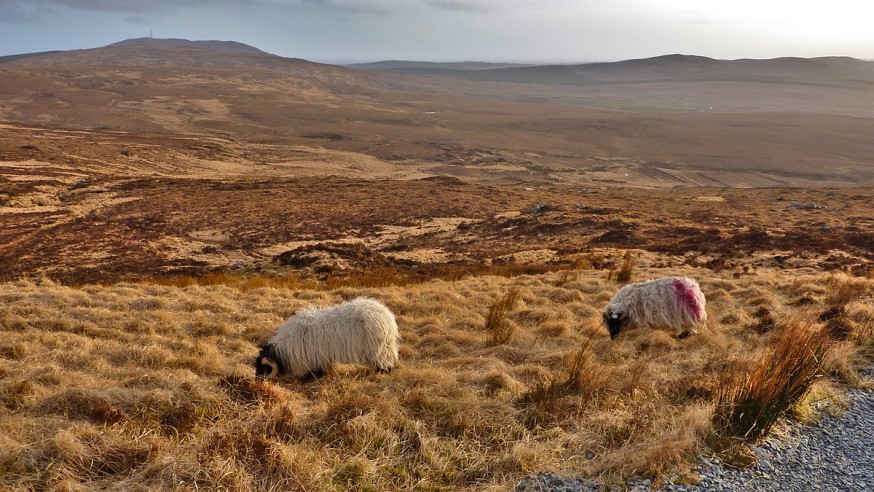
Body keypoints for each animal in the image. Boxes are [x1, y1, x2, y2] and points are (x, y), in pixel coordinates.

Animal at [254, 296, 400, 380]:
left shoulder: (316, 357)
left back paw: (383, 372)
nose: (256, 381)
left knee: (385, 362)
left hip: (380, 349)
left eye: (263, 368)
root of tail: (387, 315)